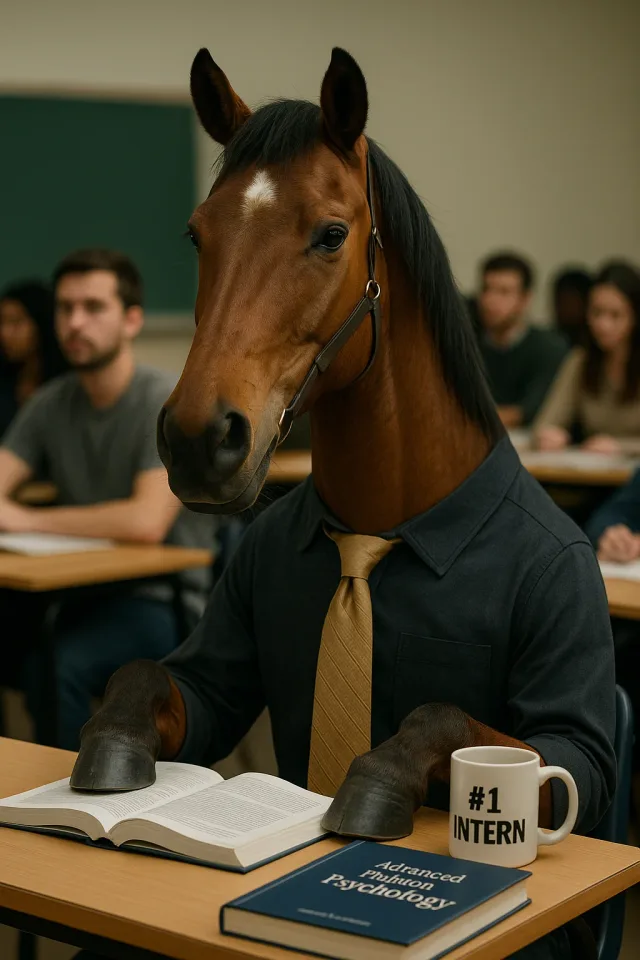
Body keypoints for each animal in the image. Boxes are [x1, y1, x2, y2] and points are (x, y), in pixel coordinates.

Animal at [70, 47, 560, 841]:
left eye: (332, 234)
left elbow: (445, 716)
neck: (382, 524)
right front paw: (111, 745)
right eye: (196, 234)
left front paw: (378, 780)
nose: (198, 438)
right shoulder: (201, 684)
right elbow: (142, 672)